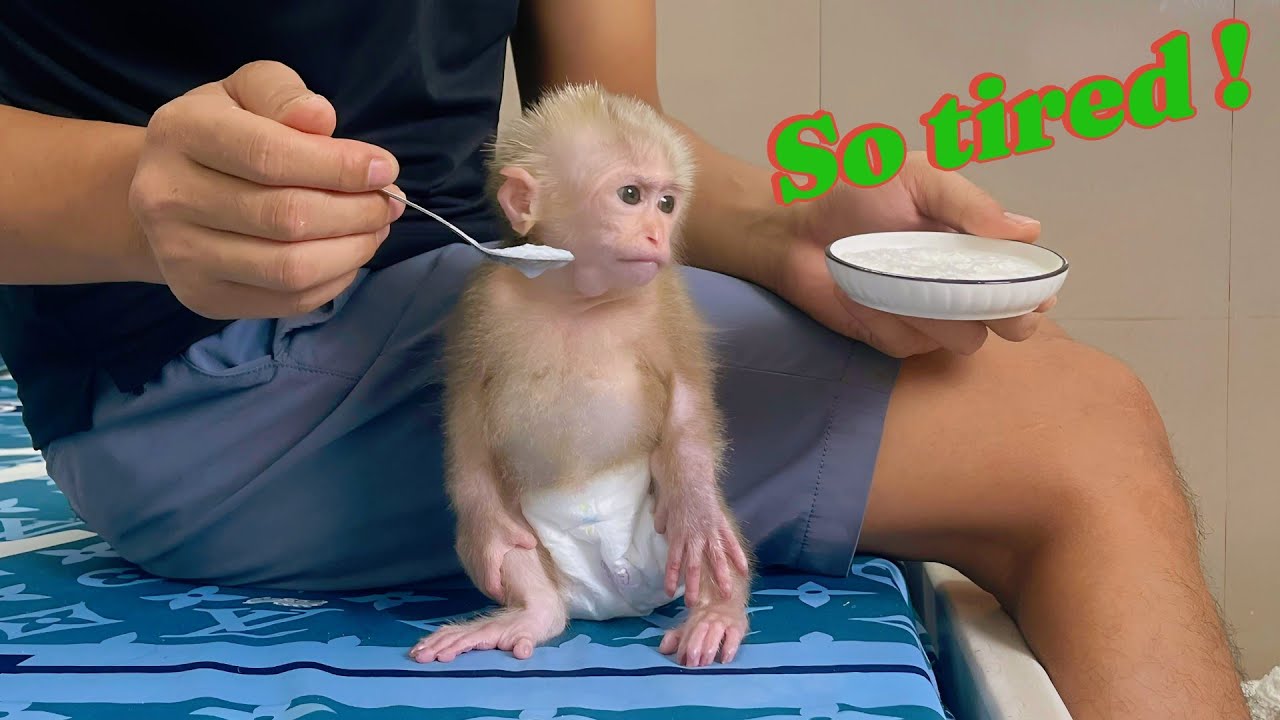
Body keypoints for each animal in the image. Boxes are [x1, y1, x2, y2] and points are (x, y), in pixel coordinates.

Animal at [408, 83, 754, 669]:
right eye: (631, 195)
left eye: (667, 204)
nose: (657, 235)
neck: (577, 295)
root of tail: (610, 602)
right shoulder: (483, 301)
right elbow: (468, 412)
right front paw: (483, 525)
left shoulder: (665, 302)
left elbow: (686, 403)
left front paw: (698, 510)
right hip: (542, 545)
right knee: (515, 551)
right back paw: (531, 611)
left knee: (696, 524)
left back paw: (715, 610)